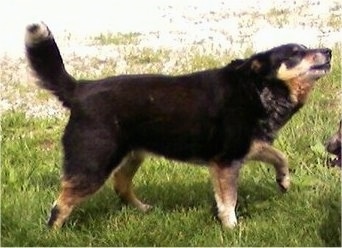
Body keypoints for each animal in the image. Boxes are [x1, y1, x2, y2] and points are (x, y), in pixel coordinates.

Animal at [24, 21, 332, 229]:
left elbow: (281, 157)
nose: (329, 51)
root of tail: (79, 89)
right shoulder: (225, 162)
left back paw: (143, 209)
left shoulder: (247, 147)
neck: (256, 88)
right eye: (295, 53)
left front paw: (284, 181)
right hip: (93, 165)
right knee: (59, 207)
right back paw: (53, 235)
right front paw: (232, 229)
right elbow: (228, 201)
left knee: (120, 187)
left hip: (131, 155)